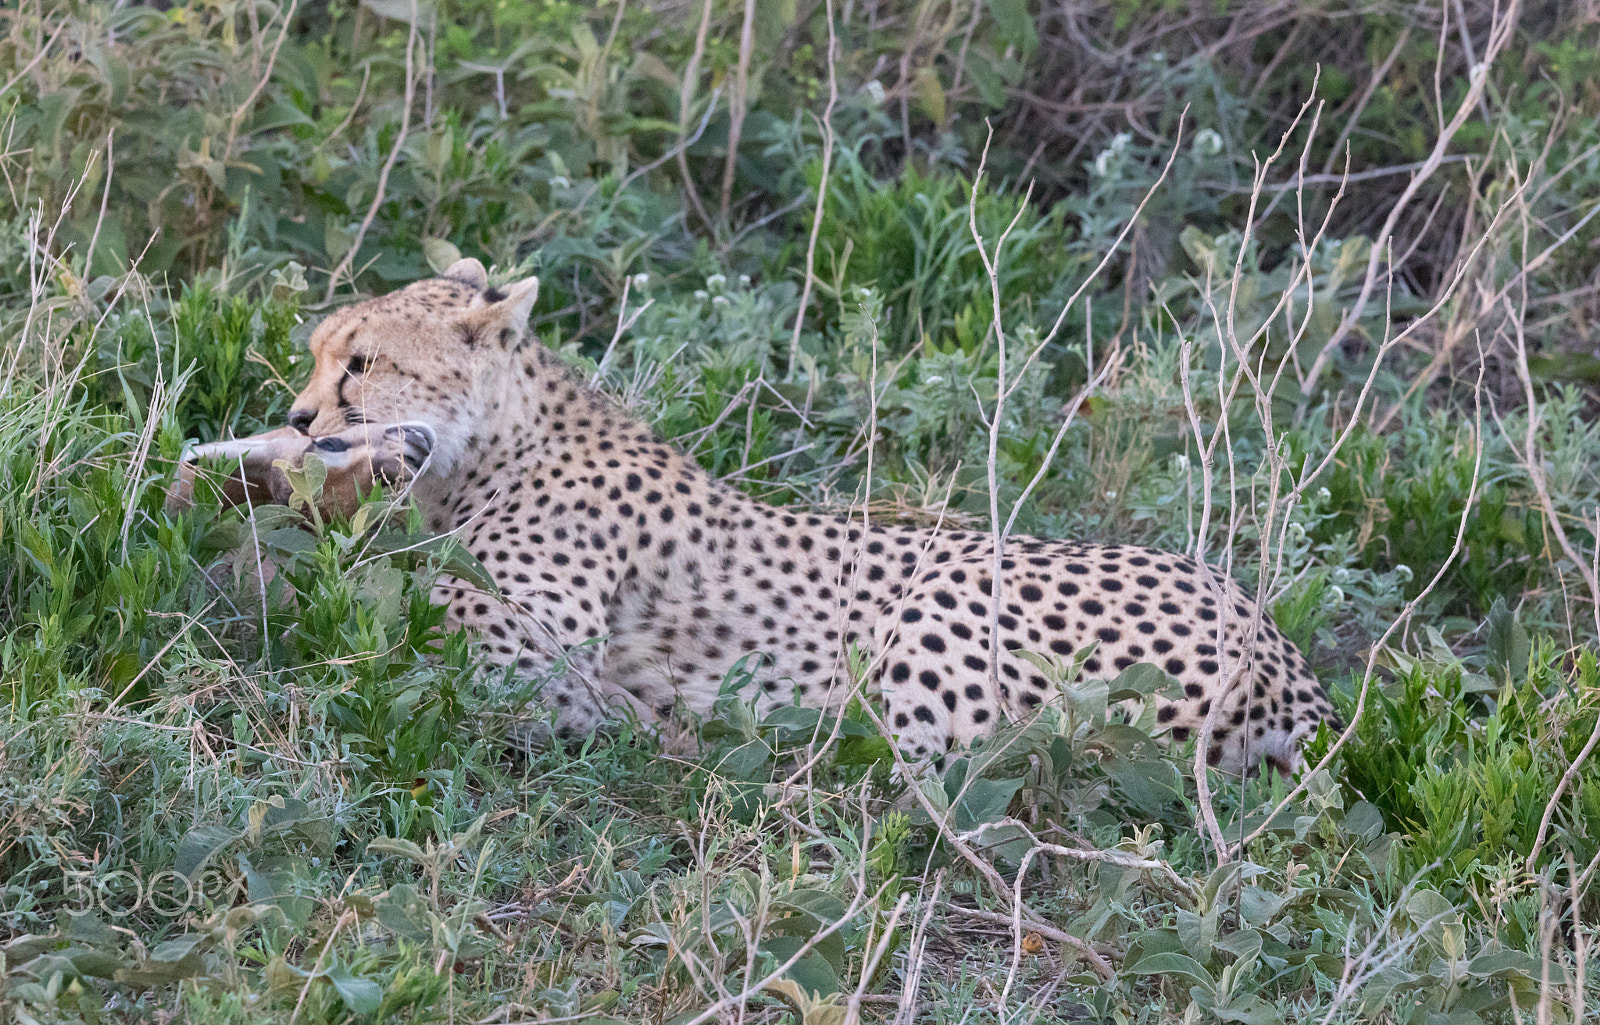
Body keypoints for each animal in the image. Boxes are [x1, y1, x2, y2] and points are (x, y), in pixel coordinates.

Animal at [176, 258, 1338, 774]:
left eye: (362, 361)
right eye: (321, 354)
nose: (303, 409)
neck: (494, 443)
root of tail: (1290, 657)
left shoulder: (532, 623)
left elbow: (409, 585)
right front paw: (236, 467)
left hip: (937, 605)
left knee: (899, 768)